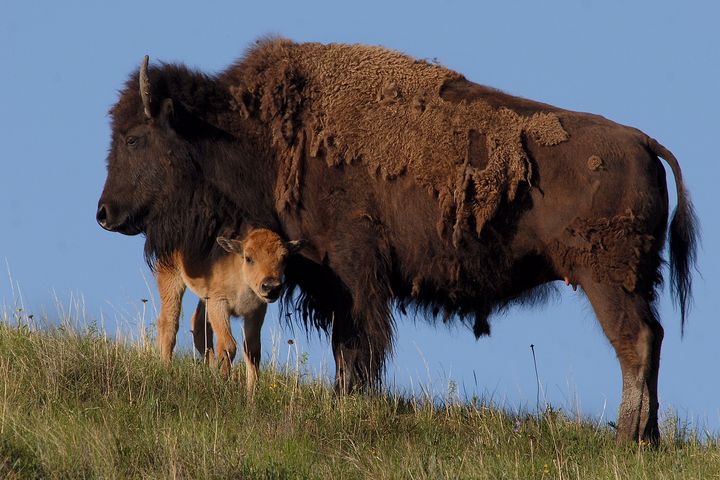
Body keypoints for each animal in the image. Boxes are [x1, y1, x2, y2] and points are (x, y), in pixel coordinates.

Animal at [97, 37, 696, 442]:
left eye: (135, 138)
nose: (105, 214)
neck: (257, 132)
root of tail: (643, 142)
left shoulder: (354, 276)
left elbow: (354, 345)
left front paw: (348, 400)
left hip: (606, 279)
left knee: (635, 341)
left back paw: (628, 437)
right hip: (633, 280)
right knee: (654, 337)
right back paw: (649, 440)